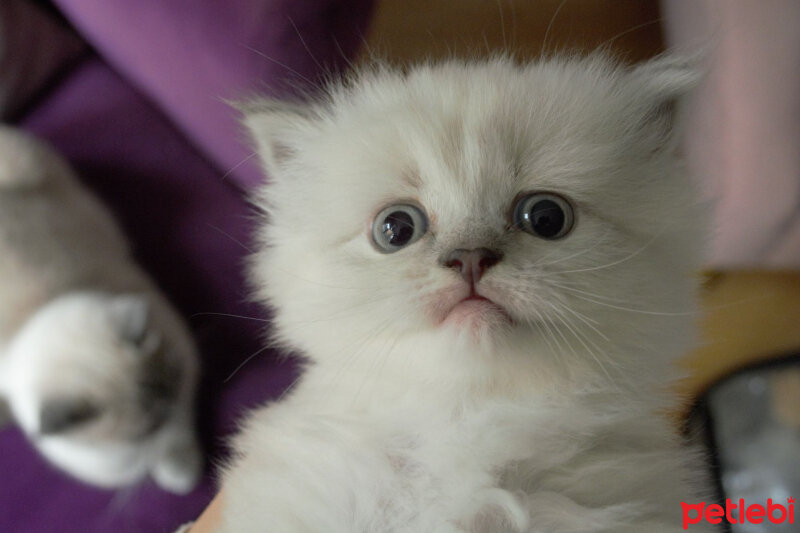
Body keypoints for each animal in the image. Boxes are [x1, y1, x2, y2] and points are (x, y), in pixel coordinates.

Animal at [0, 127, 202, 492]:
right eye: (146, 429)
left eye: (172, 390)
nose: (167, 411)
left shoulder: (186, 376)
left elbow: (180, 444)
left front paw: (180, 473)